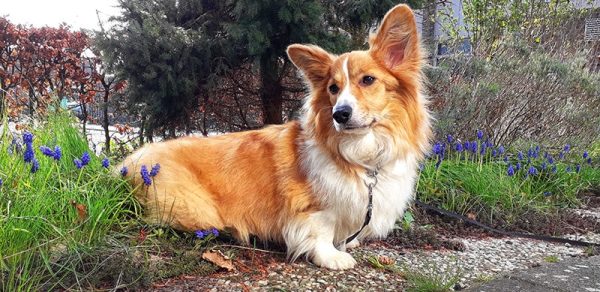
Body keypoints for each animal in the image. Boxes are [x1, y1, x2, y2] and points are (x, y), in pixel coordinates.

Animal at [122, 4, 432, 270]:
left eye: (368, 80)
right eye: (333, 88)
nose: (339, 114)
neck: (361, 152)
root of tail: (127, 164)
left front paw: (347, 243)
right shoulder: (310, 205)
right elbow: (320, 229)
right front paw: (332, 256)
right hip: (197, 209)